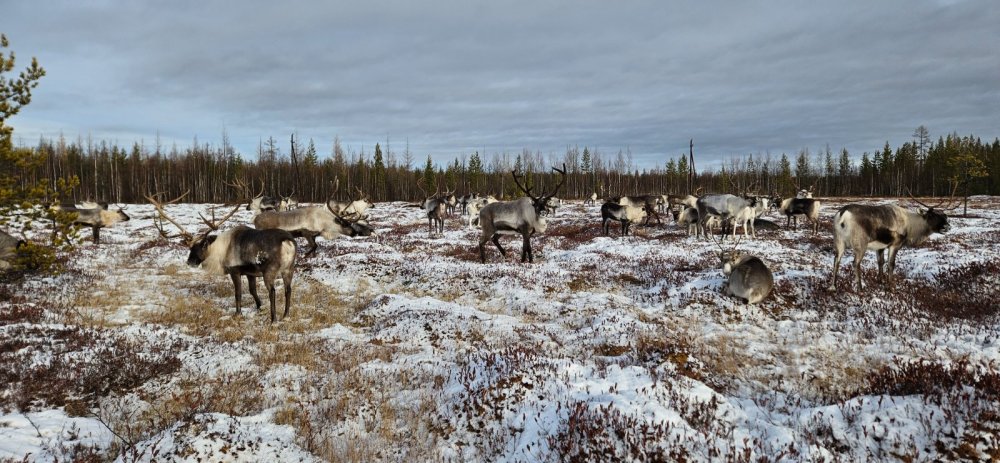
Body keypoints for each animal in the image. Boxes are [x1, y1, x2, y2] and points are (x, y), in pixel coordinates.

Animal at [147, 192, 296, 323]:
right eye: (190, 247)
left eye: (202, 245)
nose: (190, 262)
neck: (221, 250)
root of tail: (287, 242)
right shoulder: (250, 273)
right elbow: (252, 291)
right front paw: (260, 307)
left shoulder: (235, 271)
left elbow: (238, 293)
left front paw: (238, 313)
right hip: (289, 269)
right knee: (288, 289)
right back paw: (286, 315)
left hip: (269, 271)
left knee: (272, 291)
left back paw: (274, 320)